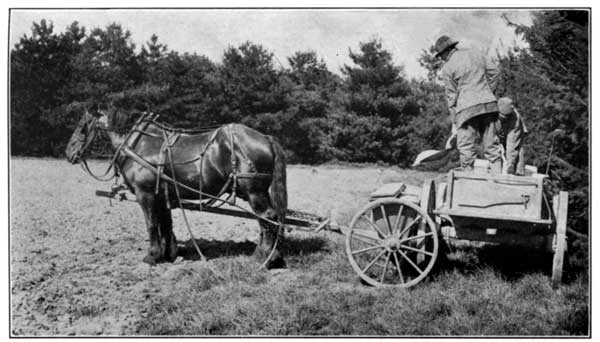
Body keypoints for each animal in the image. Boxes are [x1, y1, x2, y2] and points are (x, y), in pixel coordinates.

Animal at [65, 103, 288, 268]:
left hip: (254, 191)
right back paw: (269, 255)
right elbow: (165, 223)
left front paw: (152, 256)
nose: (68, 153)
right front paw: (169, 254)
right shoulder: (162, 195)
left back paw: (264, 258)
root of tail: (265, 137)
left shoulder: (145, 194)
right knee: (268, 220)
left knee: (268, 217)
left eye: (82, 125)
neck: (138, 144)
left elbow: (152, 224)